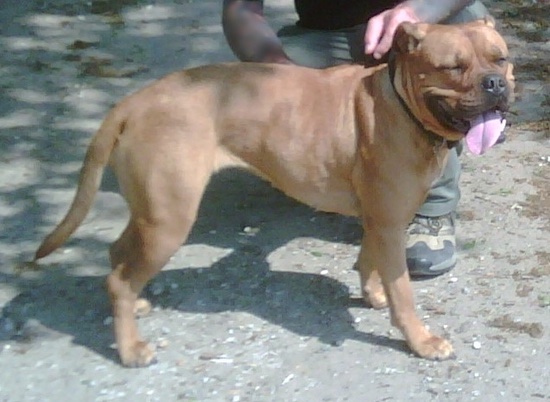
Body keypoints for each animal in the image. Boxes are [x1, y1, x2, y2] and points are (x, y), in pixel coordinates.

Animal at [35, 20, 516, 370]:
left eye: (501, 58)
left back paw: (136, 305)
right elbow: (404, 294)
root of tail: (133, 102)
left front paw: (371, 293)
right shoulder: (389, 223)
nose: (495, 83)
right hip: (168, 220)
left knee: (118, 256)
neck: (401, 103)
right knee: (119, 277)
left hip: (151, 213)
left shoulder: (380, 220)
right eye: (452, 67)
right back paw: (131, 348)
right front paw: (420, 340)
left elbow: (368, 260)